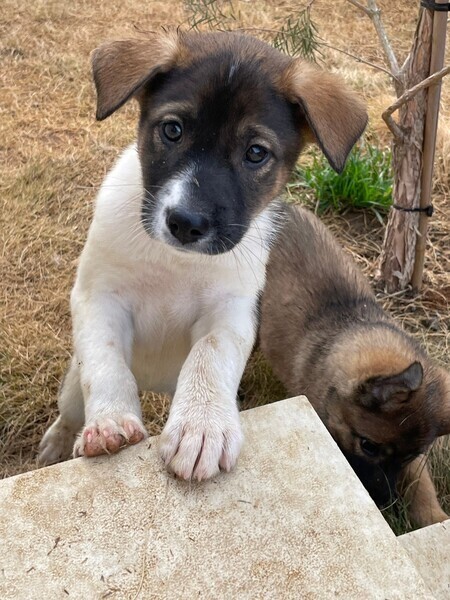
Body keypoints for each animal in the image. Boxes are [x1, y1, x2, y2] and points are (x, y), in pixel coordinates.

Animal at [38, 30, 367, 481]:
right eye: (173, 130)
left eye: (256, 153)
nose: (186, 223)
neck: (176, 262)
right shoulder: (98, 296)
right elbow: (106, 363)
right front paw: (111, 421)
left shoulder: (232, 312)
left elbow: (209, 356)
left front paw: (202, 426)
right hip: (73, 383)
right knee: (71, 407)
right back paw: (58, 441)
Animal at [260, 204, 450, 526]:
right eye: (369, 447)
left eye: (408, 457)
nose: (385, 503)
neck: (347, 327)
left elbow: (421, 483)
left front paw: (434, 516)